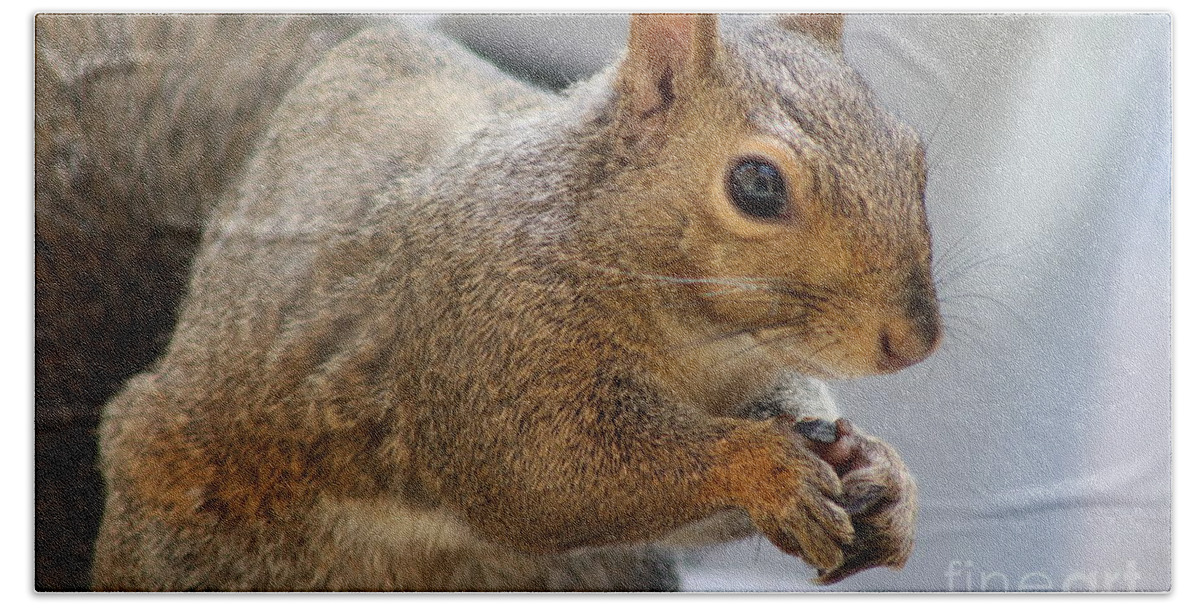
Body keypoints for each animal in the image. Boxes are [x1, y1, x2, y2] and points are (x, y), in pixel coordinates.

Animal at [88, 13, 940, 590]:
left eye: (914, 155)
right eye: (756, 184)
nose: (915, 342)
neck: (701, 341)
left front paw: (885, 474)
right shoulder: (490, 334)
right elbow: (545, 476)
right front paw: (764, 467)